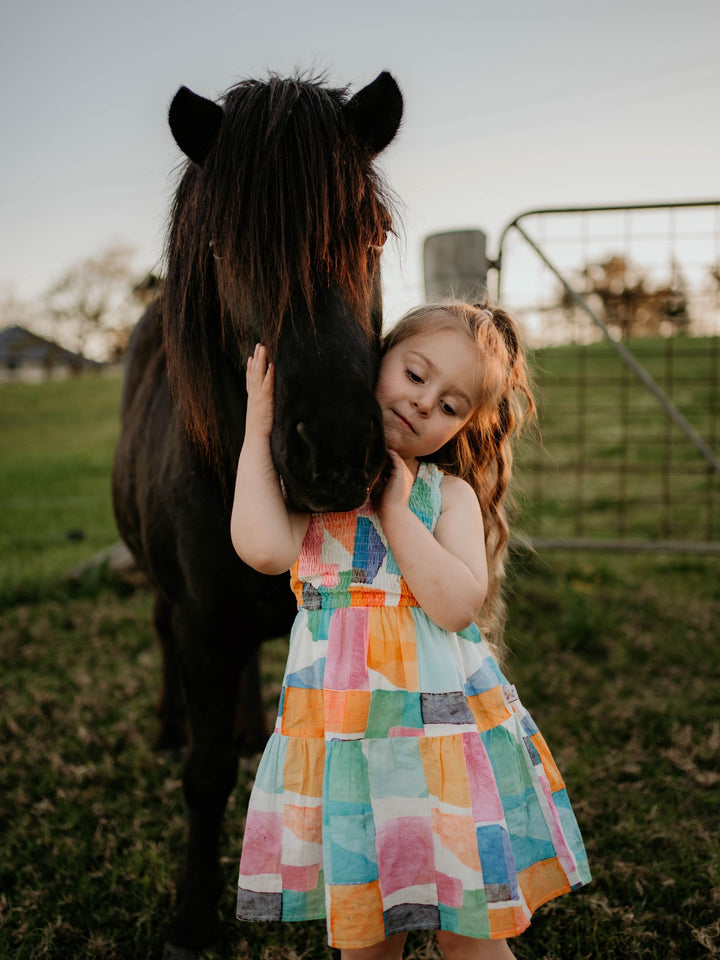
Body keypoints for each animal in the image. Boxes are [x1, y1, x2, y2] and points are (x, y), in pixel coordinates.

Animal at [114, 71, 402, 956]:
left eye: (374, 233)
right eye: (226, 250)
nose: (336, 453)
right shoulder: (204, 619)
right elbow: (205, 776)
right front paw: (192, 913)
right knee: (161, 633)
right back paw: (168, 723)